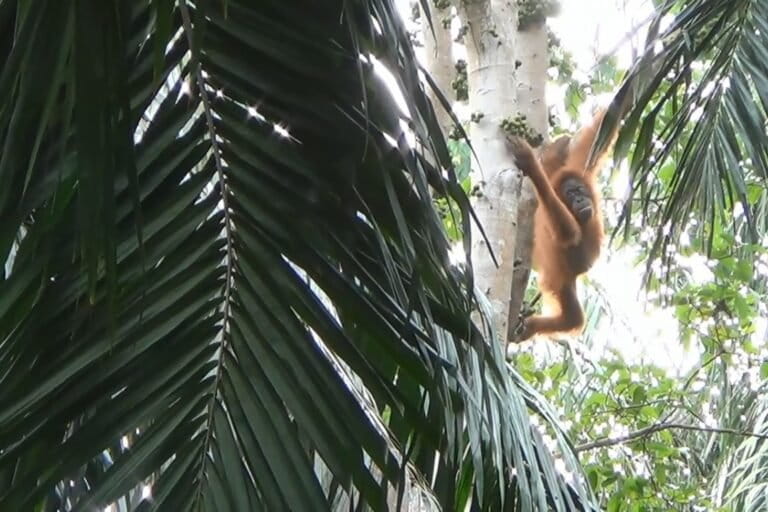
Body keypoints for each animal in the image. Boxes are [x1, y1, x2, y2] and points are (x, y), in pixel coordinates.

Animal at [507, 109, 617, 341]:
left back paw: (528, 327)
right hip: (560, 278)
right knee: (573, 318)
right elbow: (569, 233)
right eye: (571, 194)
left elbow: (600, 135)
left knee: (572, 319)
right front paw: (532, 165)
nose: (579, 200)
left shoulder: (580, 169)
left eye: (579, 190)